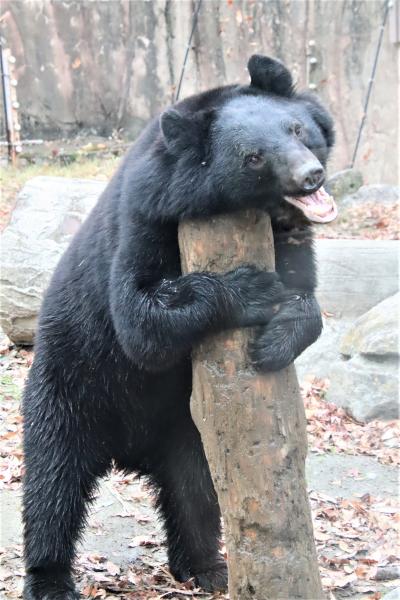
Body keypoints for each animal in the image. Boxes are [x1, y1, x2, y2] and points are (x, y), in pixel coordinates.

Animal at [21, 56, 336, 600]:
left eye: (298, 130)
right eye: (253, 158)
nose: (310, 176)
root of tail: (125, 452)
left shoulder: (291, 235)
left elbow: (305, 289)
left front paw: (275, 341)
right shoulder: (146, 214)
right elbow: (138, 318)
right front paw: (250, 290)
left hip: (188, 429)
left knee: (197, 492)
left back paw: (207, 567)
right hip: (65, 392)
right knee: (51, 488)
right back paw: (51, 580)